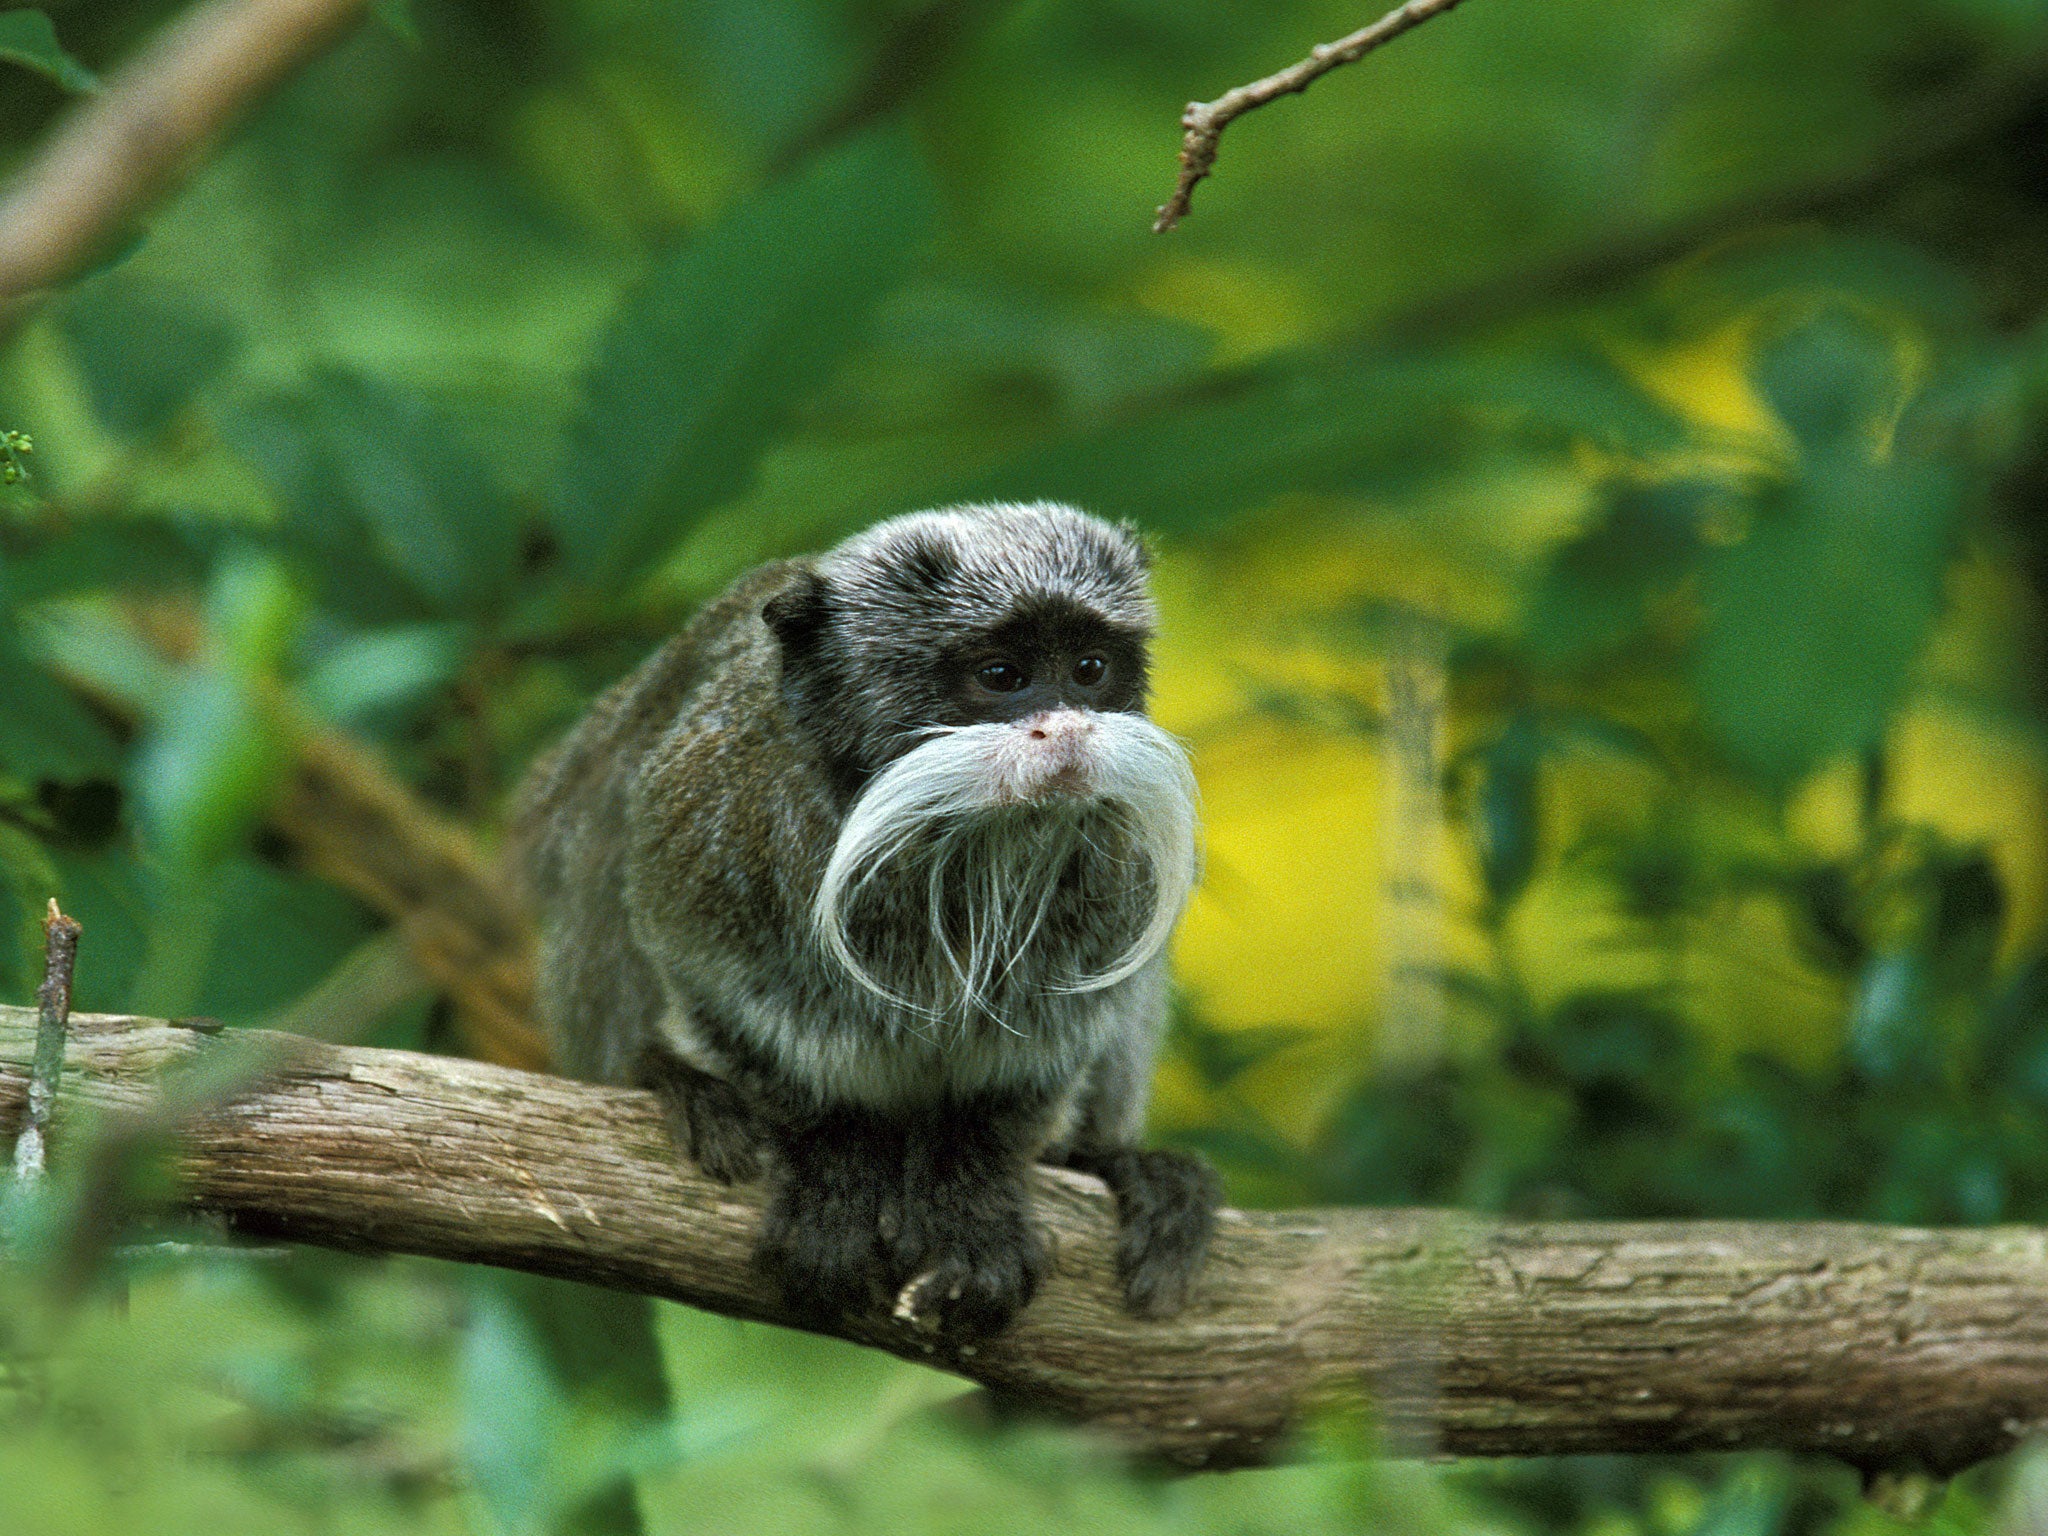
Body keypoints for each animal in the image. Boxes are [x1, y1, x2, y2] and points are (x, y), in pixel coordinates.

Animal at [520, 501, 1212, 1335]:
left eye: (1089, 670)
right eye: (1002, 676)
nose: (1071, 731)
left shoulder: (1118, 861)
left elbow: (1028, 1069)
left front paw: (973, 1206)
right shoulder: (713, 822)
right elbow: (731, 1006)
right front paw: (834, 1167)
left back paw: (1116, 1163)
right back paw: (671, 1079)